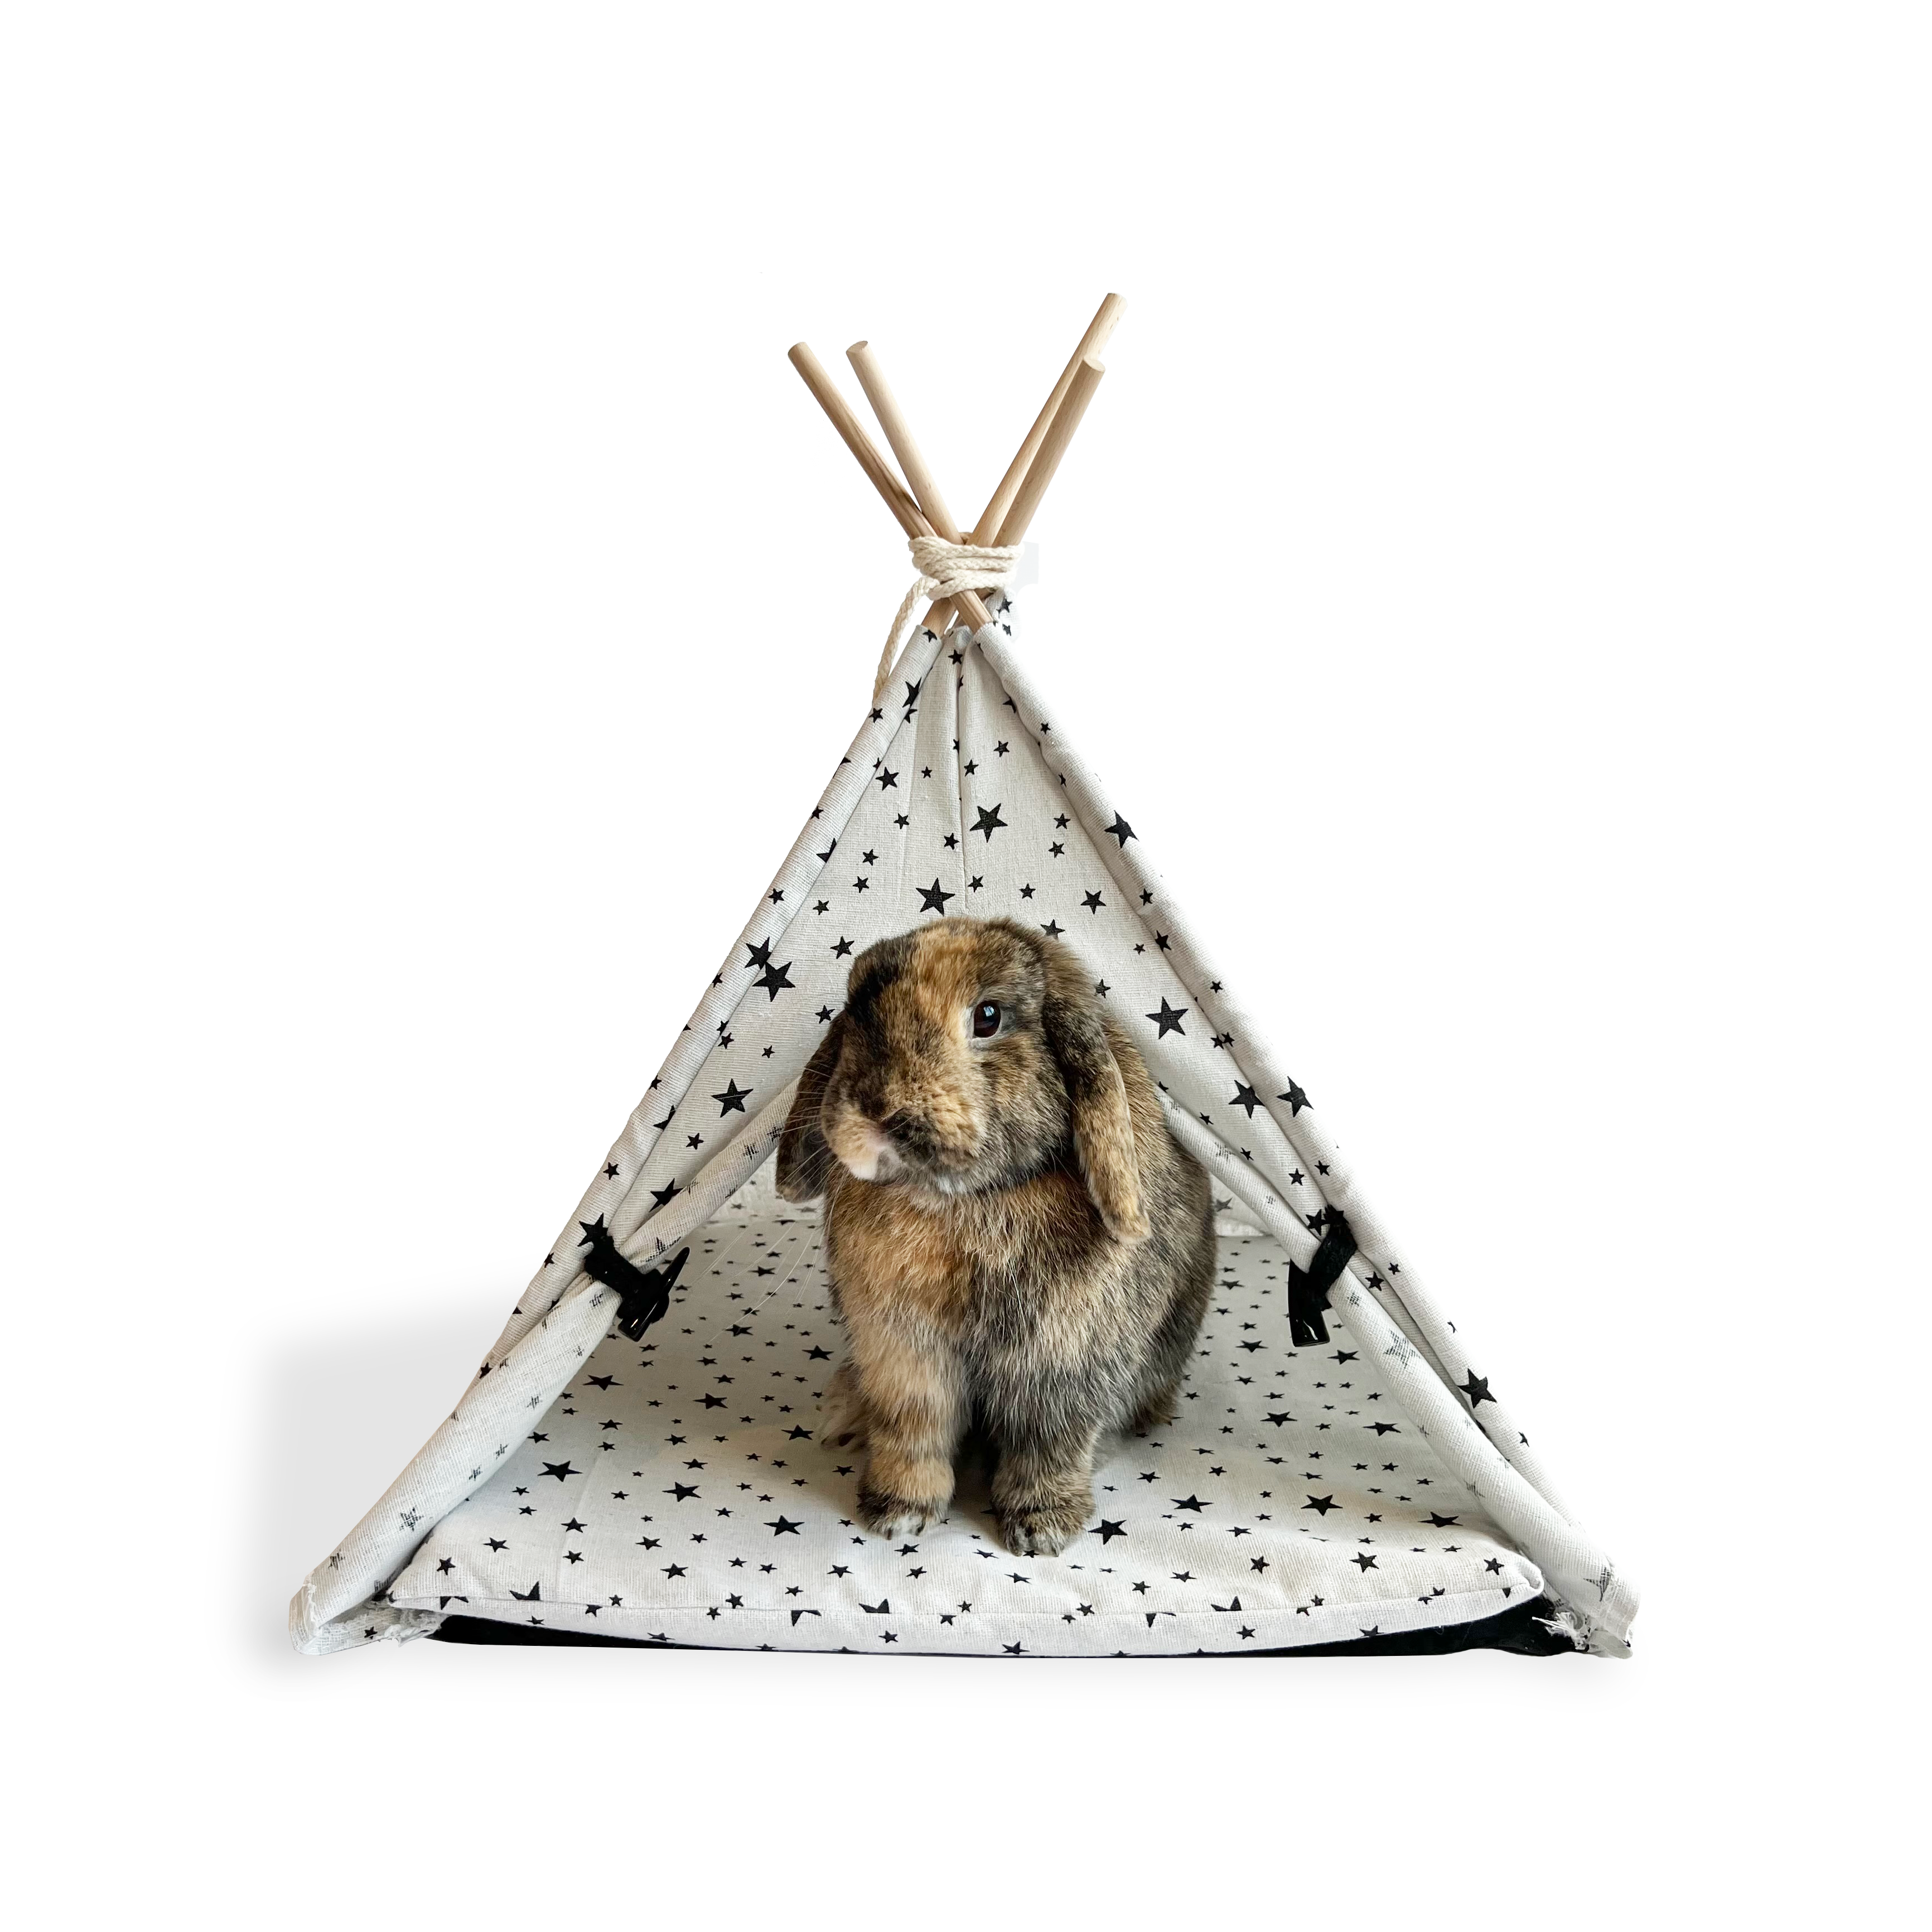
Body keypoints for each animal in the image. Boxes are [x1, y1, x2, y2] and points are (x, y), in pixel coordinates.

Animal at [776, 915, 1215, 1557]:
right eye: (858, 1009)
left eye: (988, 1016)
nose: (878, 1109)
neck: (960, 1203)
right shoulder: (904, 1359)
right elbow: (913, 1433)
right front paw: (896, 1514)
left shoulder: (1062, 1366)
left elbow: (1048, 1446)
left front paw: (1042, 1530)